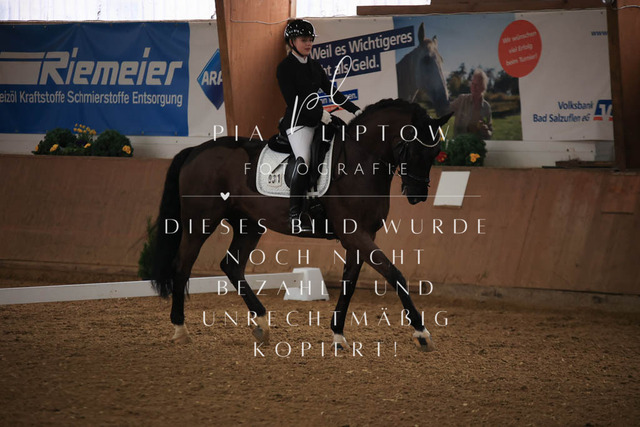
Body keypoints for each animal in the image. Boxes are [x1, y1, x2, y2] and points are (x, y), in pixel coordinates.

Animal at [150, 98, 452, 352]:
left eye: (436, 152)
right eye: (411, 147)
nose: (417, 195)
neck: (361, 160)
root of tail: (196, 150)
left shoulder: (362, 236)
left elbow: (349, 283)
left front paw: (338, 336)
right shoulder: (355, 234)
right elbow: (394, 274)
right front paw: (422, 333)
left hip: (249, 225)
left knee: (231, 265)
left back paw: (262, 324)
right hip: (199, 222)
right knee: (182, 266)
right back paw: (180, 329)